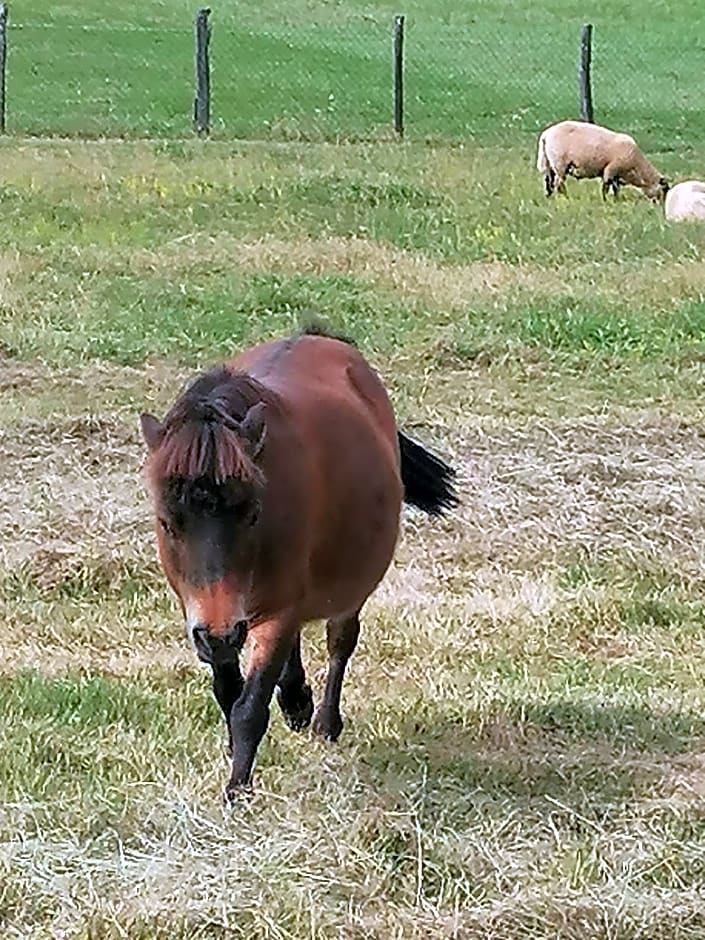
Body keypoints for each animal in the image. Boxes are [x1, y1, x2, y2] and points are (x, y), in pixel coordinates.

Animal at [139, 326, 456, 796]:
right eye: (166, 521)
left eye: (252, 513)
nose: (220, 633)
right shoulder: (206, 615)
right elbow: (228, 691)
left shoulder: (275, 611)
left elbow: (249, 707)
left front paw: (237, 791)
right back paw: (296, 702)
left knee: (340, 640)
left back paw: (323, 720)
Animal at [536, 119, 668, 202]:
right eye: (665, 189)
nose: (662, 205)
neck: (637, 167)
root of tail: (546, 135)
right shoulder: (610, 170)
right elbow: (606, 187)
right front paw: (605, 201)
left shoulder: (616, 175)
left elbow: (615, 189)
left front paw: (616, 200)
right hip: (560, 164)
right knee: (559, 184)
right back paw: (566, 198)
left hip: (548, 163)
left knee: (548, 182)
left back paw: (549, 197)